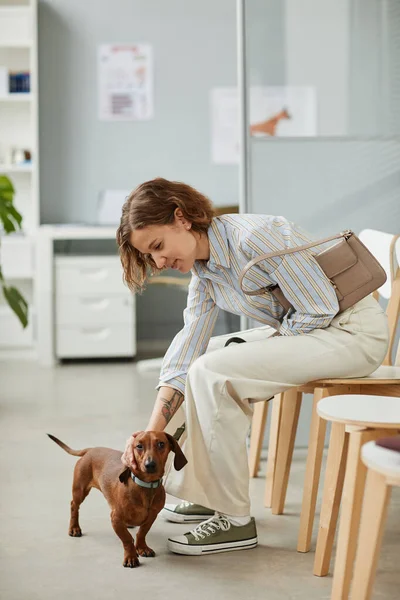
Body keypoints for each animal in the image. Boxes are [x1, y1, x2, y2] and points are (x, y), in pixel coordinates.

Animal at [48, 432, 188, 568]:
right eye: (139, 446)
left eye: (161, 444)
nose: (150, 465)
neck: (146, 487)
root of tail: (91, 449)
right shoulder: (115, 518)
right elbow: (127, 538)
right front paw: (131, 557)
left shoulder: (152, 516)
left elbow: (142, 533)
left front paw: (142, 548)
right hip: (80, 490)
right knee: (74, 505)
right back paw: (74, 528)